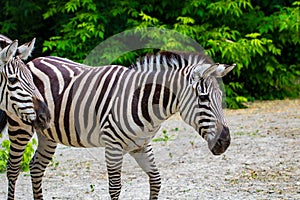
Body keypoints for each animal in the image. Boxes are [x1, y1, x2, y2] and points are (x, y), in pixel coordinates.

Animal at [0, 36, 234, 199]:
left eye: (220, 97)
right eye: (203, 98)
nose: (225, 142)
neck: (143, 101)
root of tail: (34, 60)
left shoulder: (141, 146)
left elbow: (156, 181)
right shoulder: (113, 146)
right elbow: (115, 188)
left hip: (48, 133)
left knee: (36, 167)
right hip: (21, 127)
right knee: (13, 169)